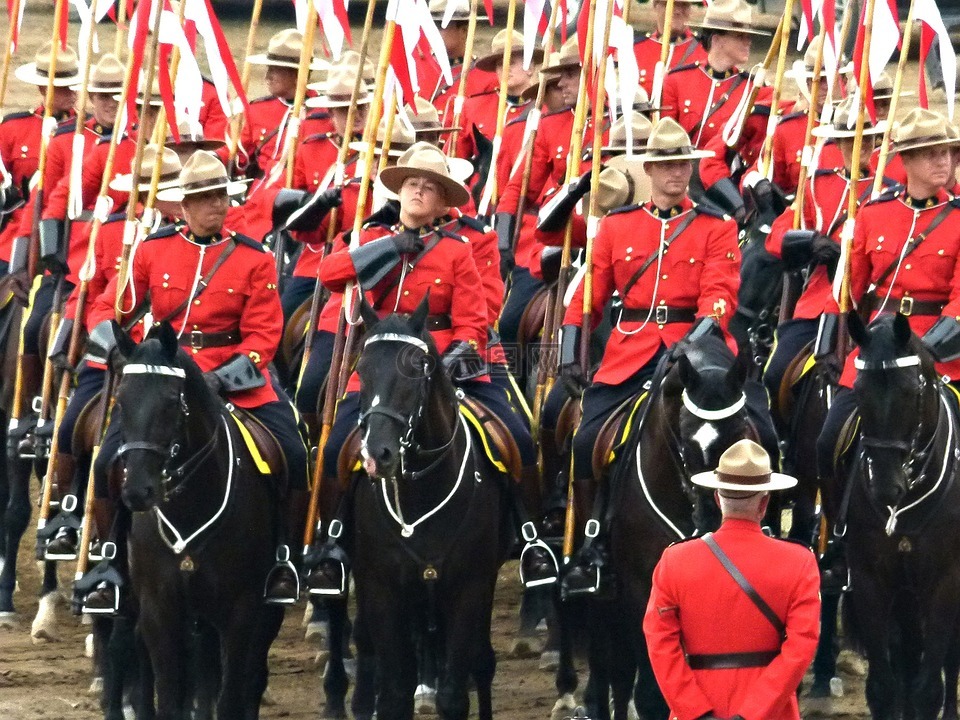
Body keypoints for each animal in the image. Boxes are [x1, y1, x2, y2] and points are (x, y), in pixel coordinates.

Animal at [109, 324, 282, 720]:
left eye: (172, 401)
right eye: (121, 401)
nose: (138, 491)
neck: (191, 507)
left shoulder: (241, 611)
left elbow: (231, 696)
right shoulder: (159, 610)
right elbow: (170, 696)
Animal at [346, 300, 512, 720]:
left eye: (416, 369)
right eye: (361, 369)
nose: (377, 455)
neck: (421, 490)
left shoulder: (469, 587)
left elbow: (453, 695)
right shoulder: (382, 590)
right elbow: (394, 694)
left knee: (481, 662)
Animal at [844, 314, 960, 720]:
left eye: (910, 391)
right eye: (859, 391)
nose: (885, 488)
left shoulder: (945, 583)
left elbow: (929, 689)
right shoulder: (869, 580)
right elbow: (884, 687)